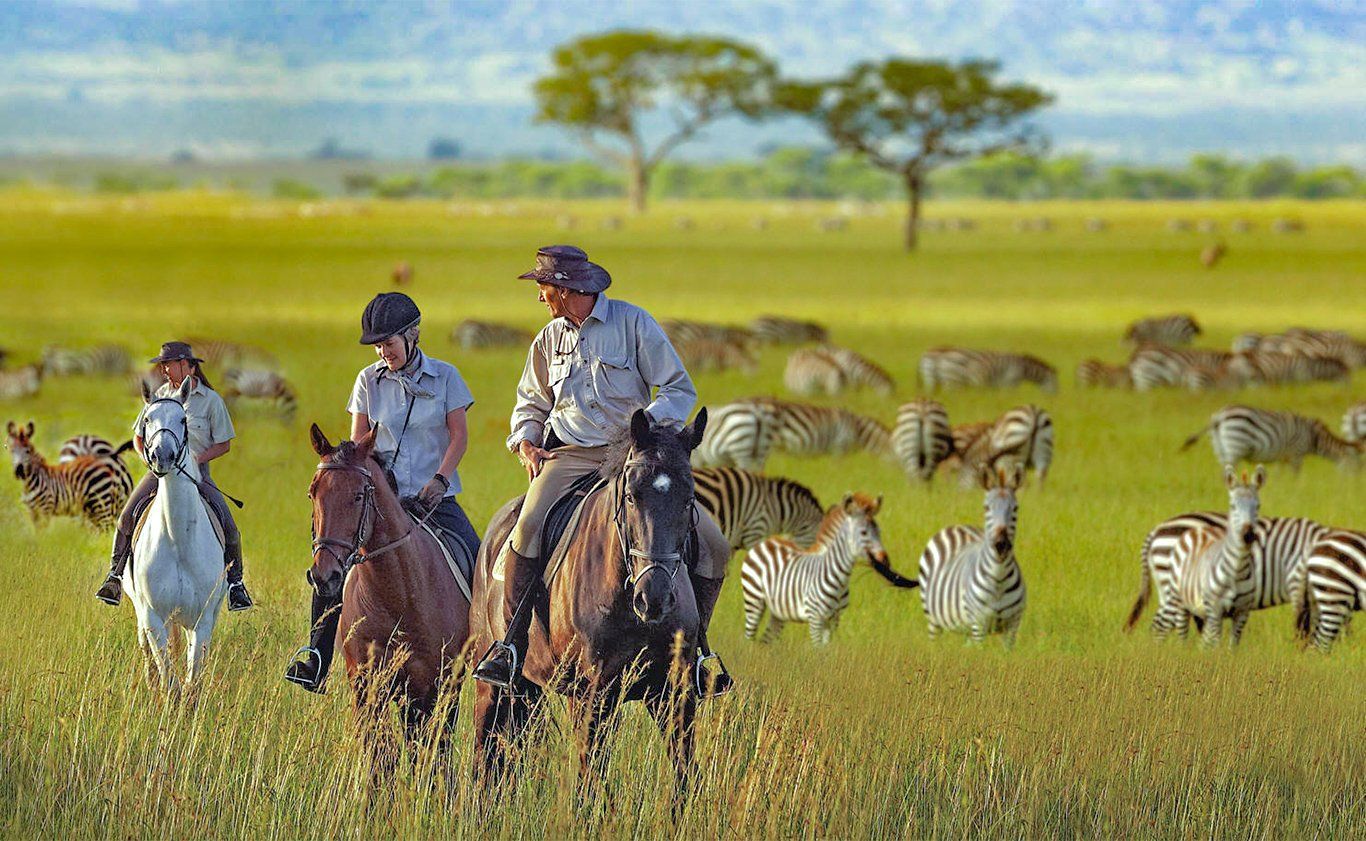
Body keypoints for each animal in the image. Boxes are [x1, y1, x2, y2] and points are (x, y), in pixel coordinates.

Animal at [5, 420, 133, 530]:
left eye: (28, 451)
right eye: (12, 451)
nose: (19, 471)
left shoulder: (45, 508)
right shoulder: (33, 511)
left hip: (100, 505)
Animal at [741, 493, 913, 645]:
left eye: (879, 531)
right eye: (864, 532)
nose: (885, 559)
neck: (839, 577)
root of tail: (768, 541)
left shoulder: (834, 619)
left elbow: (825, 652)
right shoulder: (815, 618)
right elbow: (817, 650)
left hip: (778, 611)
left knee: (765, 640)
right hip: (753, 599)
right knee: (749, 638)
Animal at [916, 463, 1027, 646]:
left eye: (1016, 508)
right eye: (986, 507)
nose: (1001, 544)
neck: (999, 577)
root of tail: (957, 526)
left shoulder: (1013, 624)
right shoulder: (978, 624)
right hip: (932, 618)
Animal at [919, 348, 1058, 393]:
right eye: (1056, 384)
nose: (1056, 398)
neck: (1023, 368)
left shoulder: (1000, 384)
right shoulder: (1009, 382)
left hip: (931, 379)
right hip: (952, 380)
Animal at [1181, 405, 1361, 471]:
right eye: (1359, 467)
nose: (1355, 488)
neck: (1314, 438)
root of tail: (1219, 416)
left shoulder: (1284, 456)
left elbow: (1279, 474)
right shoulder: (1297, 453)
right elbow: (1296, 476)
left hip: (1220, 447)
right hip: (1235, 444)